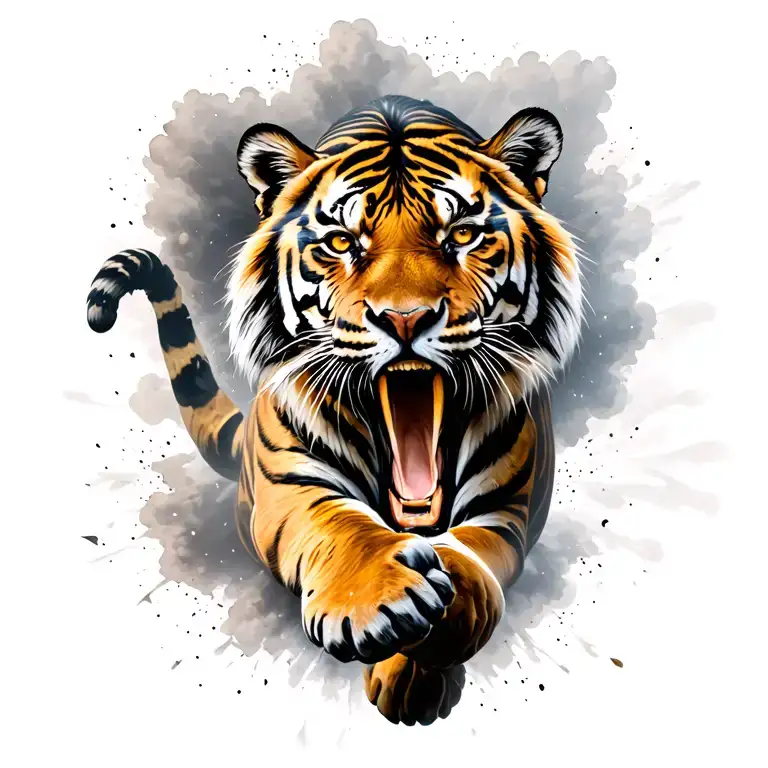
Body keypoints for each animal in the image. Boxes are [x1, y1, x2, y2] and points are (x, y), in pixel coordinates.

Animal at [86, 95, 582, 726]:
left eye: (463, 235)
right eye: (343, 243)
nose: (404, 318)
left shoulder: (503, 512)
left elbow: (473, 564)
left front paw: (419, 660)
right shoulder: (287, 487)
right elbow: (338, 525)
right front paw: (375, 597)